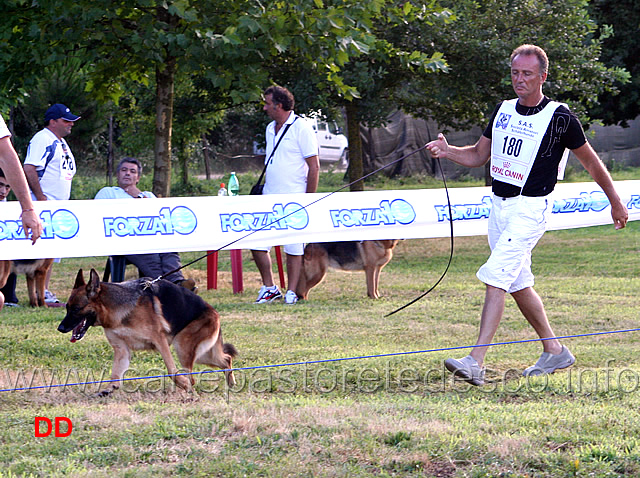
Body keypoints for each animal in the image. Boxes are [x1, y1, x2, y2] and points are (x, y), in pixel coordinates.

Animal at [57, 268, 238, 396]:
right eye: (67, 308)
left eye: (76, 309)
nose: (60, 328)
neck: (116, 308)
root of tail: (215, 313)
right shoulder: (121, 350)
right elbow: (115, 373)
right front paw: (110, 388)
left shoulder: (160, 341)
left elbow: (171, 371)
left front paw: (183, 384)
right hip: (201, 354)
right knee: (226, 359)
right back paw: (231, 384)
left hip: (183, 347)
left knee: (196, 373)